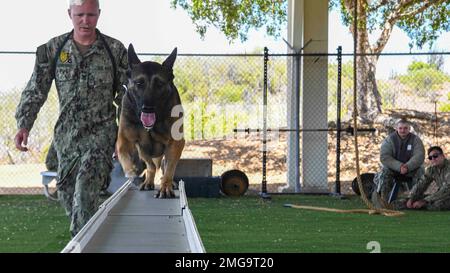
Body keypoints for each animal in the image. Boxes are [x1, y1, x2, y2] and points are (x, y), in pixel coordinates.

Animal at [118, 44, 185, 198]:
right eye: (139, 83)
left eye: (159, 84)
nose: (147, 108)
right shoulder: (125, 141)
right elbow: (128, 161)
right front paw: (133, 176)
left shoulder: (176, 142)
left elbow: (169, 168)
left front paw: (165, 186)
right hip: (142, 149)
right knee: (152, 165)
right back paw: (147, 181)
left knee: (162, 166)